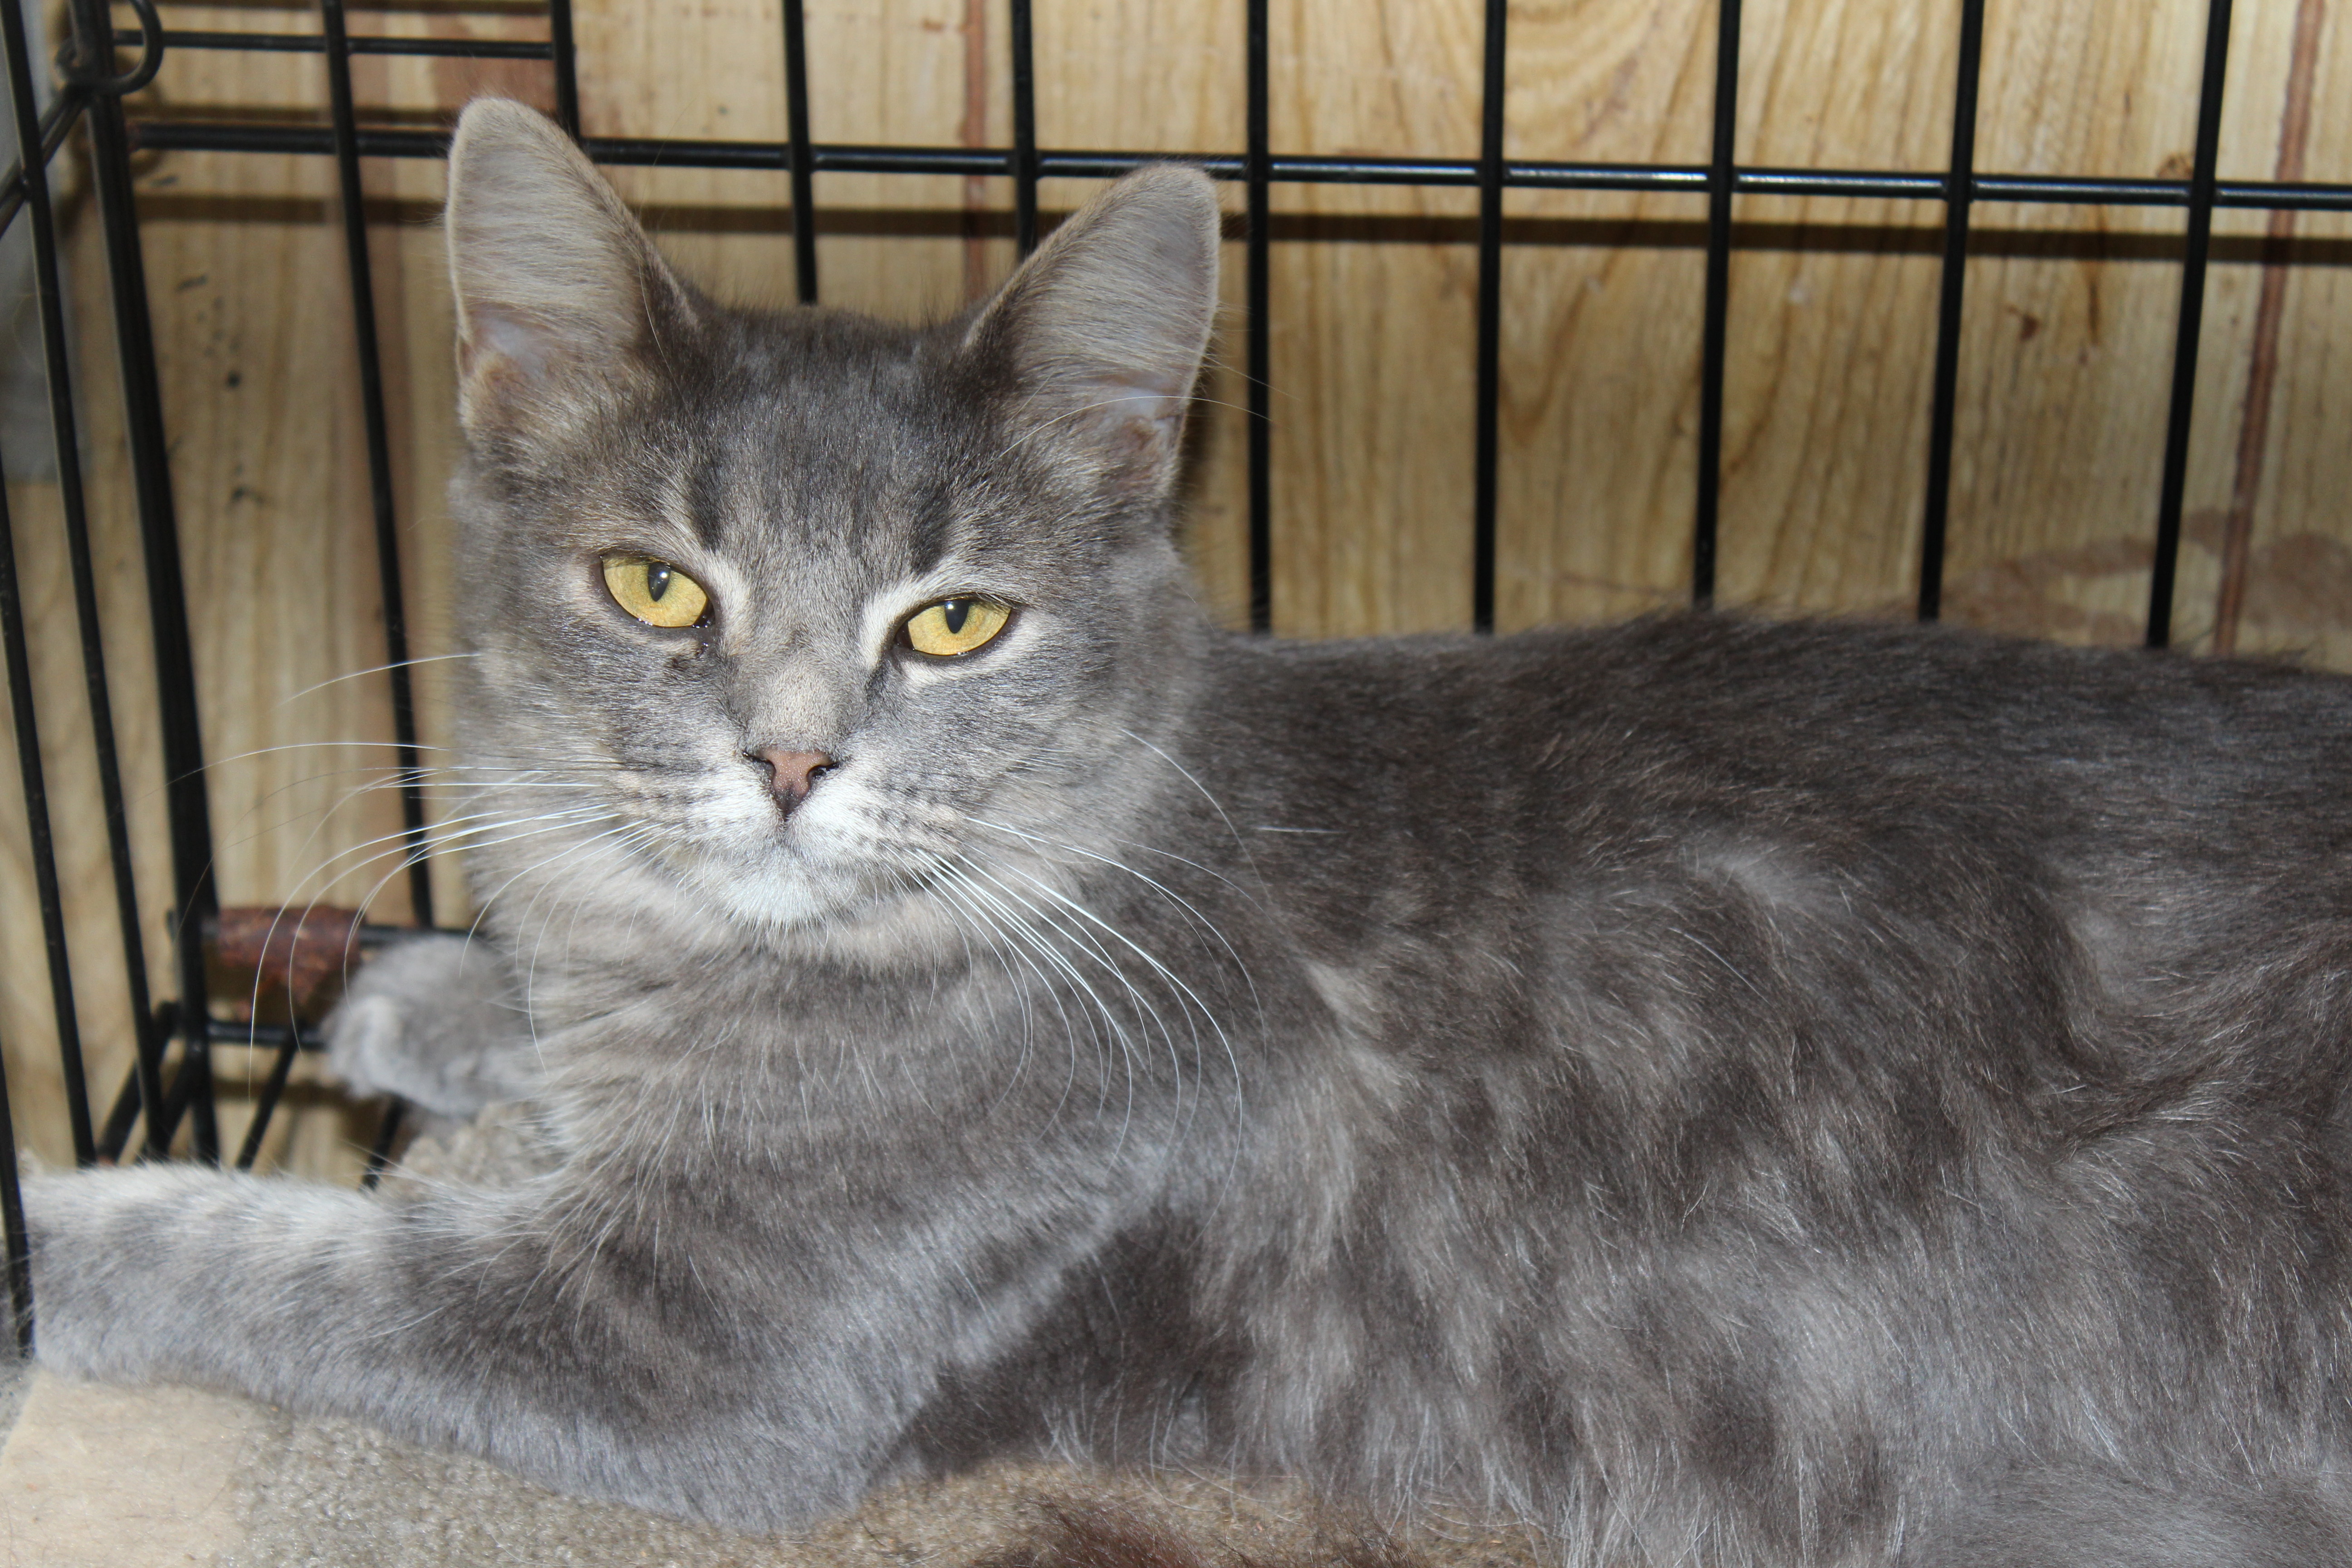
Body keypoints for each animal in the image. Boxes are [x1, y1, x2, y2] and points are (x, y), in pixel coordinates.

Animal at [24, 95, 2352, 1566]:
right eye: (656, 590)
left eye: (953, 620)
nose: (788, 761)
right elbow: (539, 1018)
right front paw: (423, 985)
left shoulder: (688, 1346)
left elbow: (252, 1243)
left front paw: (50, 1216)